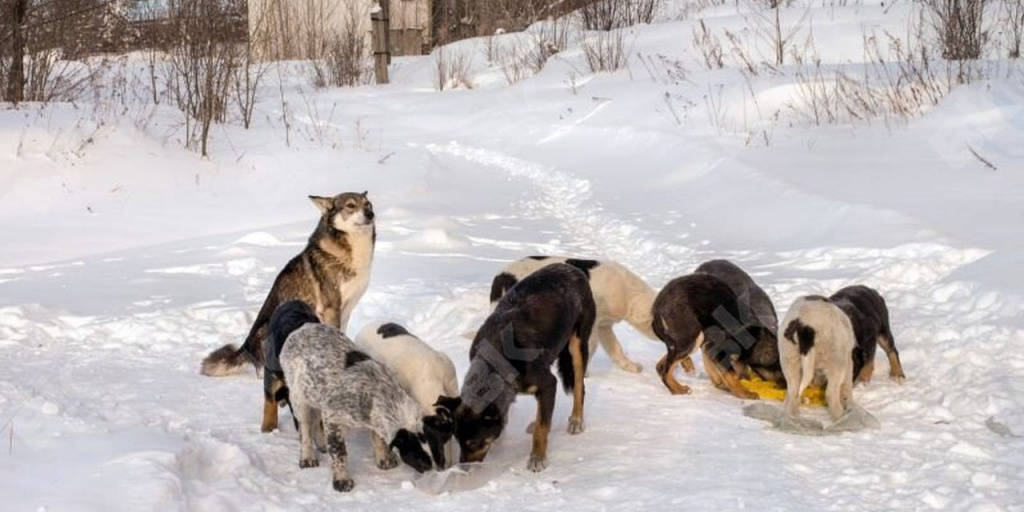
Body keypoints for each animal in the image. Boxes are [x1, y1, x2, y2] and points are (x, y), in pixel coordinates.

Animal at [282, 323, 454, 491]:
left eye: (440, 456)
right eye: (421, 462)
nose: (437, 477)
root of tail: (302, 327)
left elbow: (378, 437)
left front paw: (384, 460)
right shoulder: (333, 416)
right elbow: (339, 452)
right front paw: (342, 480)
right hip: (298, 398)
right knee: (305, 427)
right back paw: (307, 457)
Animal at [436, 264, 598, 471]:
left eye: (474, 443)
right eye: (458, 441)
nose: (463, 468)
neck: (493, 364)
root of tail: (570, 267)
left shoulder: (548, 383)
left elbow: (541, 428)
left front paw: (537, 457)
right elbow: (540, 418)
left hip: (578, 342)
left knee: (579, 386)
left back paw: (576, 419)